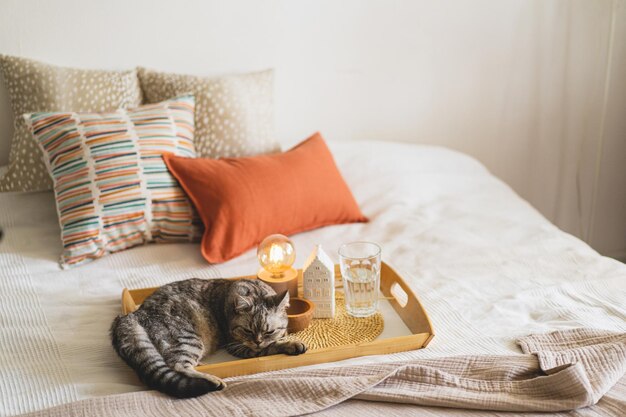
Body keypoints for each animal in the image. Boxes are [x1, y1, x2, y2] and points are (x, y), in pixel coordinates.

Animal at [113, 276, 308, 396]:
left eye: (268, 331)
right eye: (247, 331)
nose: (257, 342)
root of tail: (135, 313)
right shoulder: (237, 346)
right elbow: (271, 346)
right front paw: (291, 344)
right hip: (188, 338)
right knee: (177, 365)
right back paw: (213, 380)